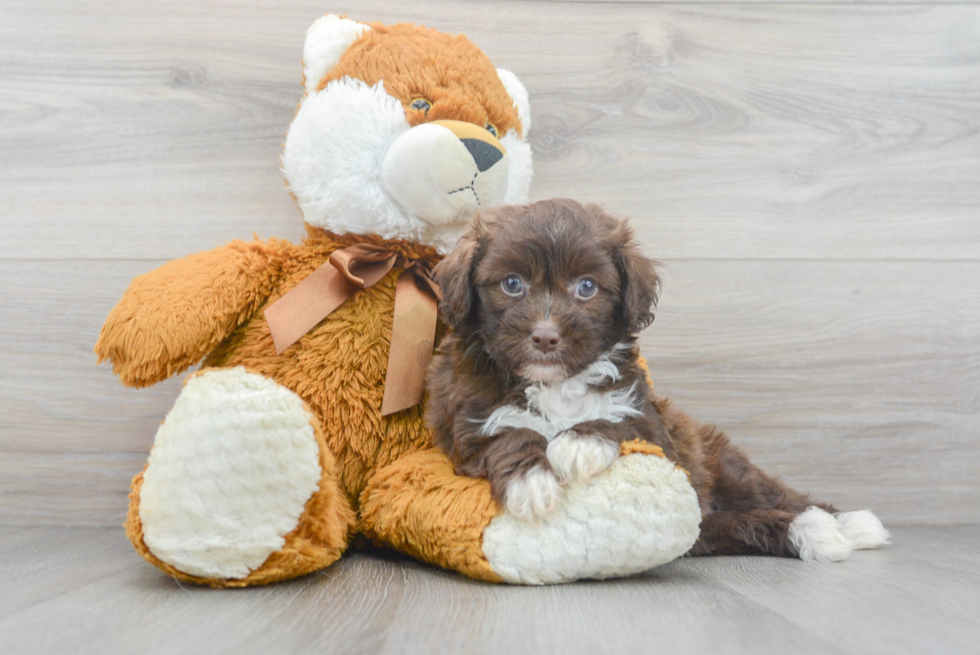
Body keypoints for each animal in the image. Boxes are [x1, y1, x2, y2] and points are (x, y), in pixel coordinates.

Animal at [426, 200, 888, 564]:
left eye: (586, 287)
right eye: (512, 284)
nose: (544, 337)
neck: (558, 383)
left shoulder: (655, 428)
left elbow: (621, 421)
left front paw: (577, 443)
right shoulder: (466, 425)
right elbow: (507, 436)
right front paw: (532, 483)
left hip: (721, 463)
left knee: (774, 493)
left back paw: (847, 522)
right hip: (703, 525)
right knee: (739, 523)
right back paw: (813, 531)